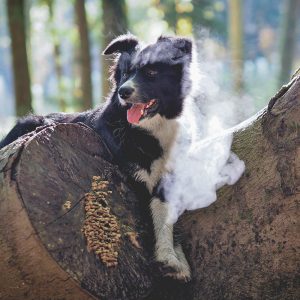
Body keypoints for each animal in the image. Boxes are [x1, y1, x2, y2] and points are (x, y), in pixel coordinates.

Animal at [0, 35, 192, 282]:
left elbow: (168, 217)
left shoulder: (168, 180)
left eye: (151, 72)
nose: (123, 92)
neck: (148, 131)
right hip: (34, 121)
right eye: (126, 72)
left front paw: (176, 258)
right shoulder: (132, 179)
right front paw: (170, 259)